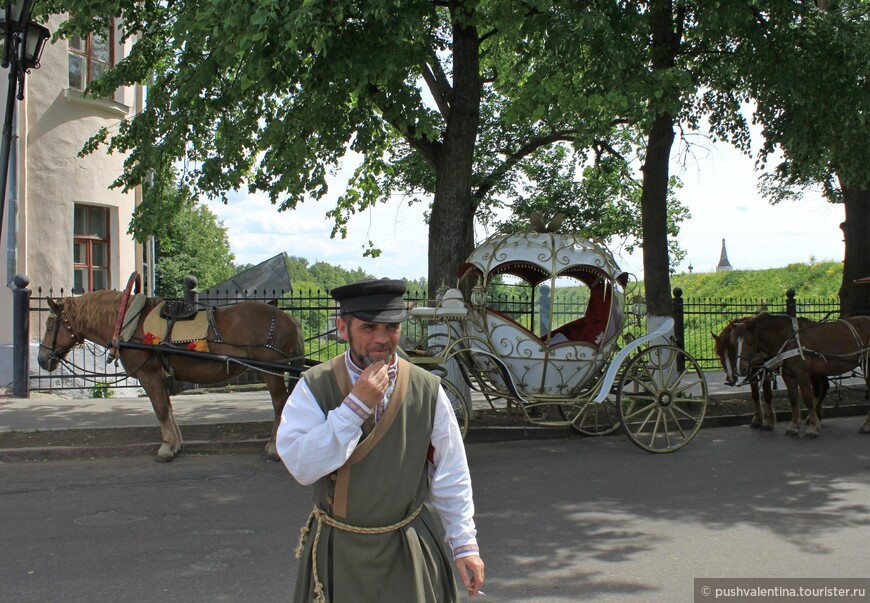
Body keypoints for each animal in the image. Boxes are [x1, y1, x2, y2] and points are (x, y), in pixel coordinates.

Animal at [37, 290, 306, 460]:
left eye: (50, 325)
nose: (41, 359)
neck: (128, 323)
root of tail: (291, 320)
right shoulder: (159, 376)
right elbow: (168, 408)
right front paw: (175, 443)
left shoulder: (149, 375)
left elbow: (160, 410)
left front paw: (166, 447)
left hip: (272, 370)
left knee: (280, 404)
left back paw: (274, 448)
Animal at [732, 314, 870, 436]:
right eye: (735, 343)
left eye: (749, 342)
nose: (740, 369)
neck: (789, 340)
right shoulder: (788, 375)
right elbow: (793, 399)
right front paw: (793, 426)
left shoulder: (802, 374)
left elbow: (807, 399)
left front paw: (813, 427)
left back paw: (866, 425)